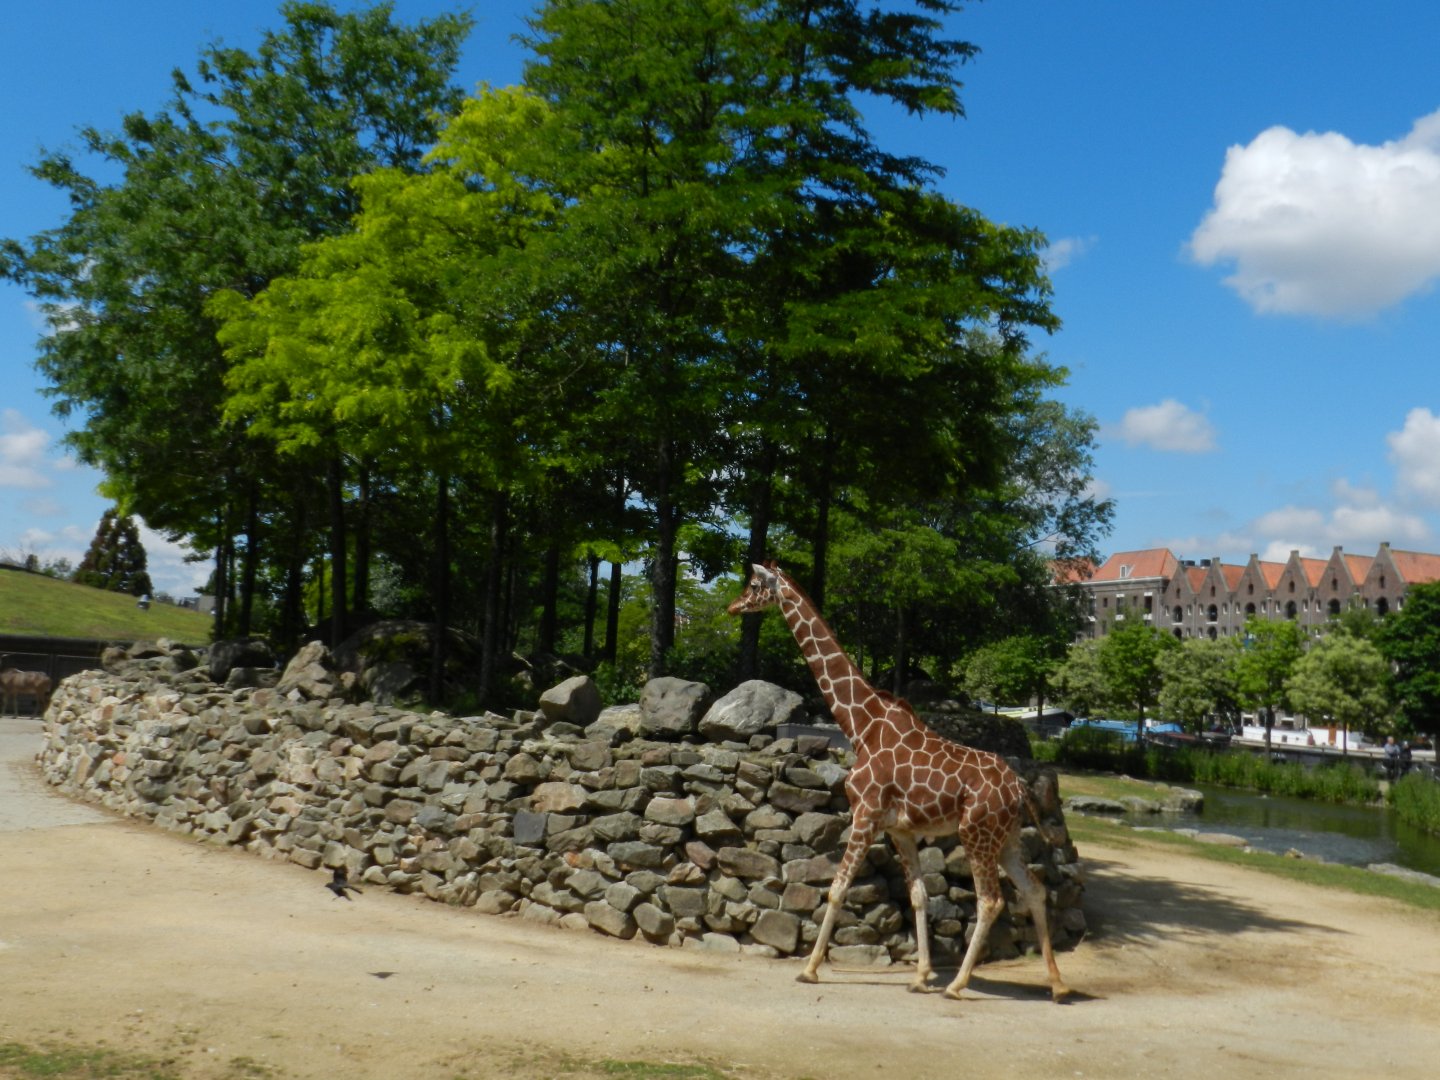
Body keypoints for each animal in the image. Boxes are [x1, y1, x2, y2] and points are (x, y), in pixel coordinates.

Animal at [728, 562, 1070, 1002]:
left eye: (754, 585)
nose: (733, 607)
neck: (861, 725)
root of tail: (1020, 789)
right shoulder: (900, 829)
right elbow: (919, 897)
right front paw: (921, 975)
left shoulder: (865, 814)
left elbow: (838, 888)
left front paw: (809, 969)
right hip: (1005, 837)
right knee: (1034, 890)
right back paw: (1057, 984)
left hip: (975, 834)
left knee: (991, 900)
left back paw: (957, 985)